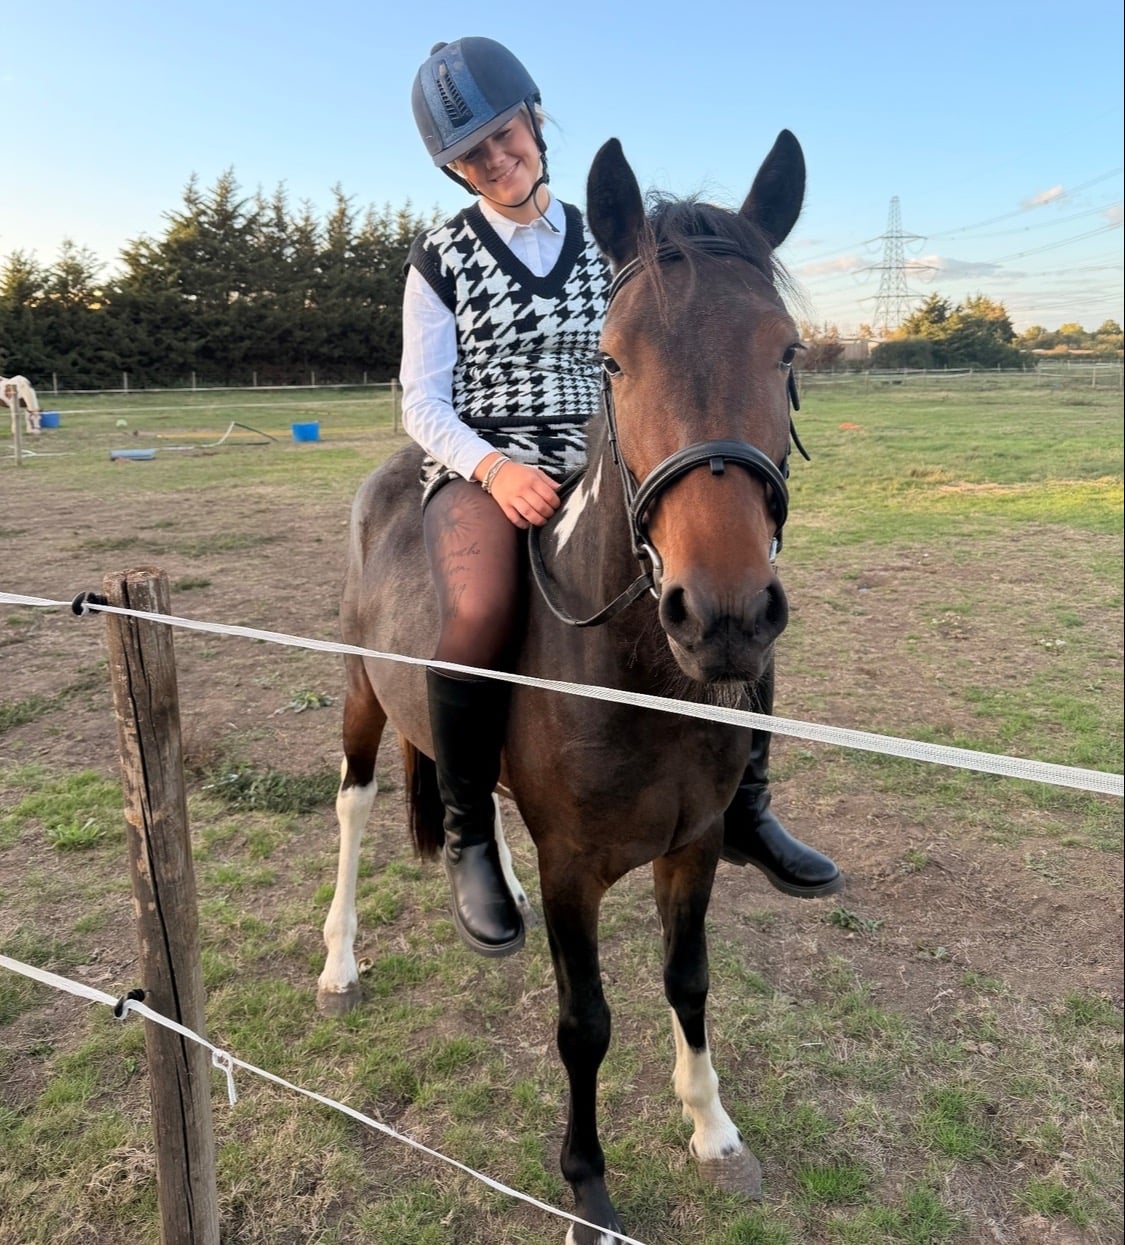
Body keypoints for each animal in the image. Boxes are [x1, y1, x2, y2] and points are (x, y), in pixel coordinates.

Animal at [318, 129, 808, 1243]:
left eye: (786, 351)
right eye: (613, 358)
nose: (722, 617)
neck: (639, 679)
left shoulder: (694, 844)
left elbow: (688, 980)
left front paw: (713, 1129)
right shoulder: (575, 870)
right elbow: (584, 1023)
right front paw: (586, 1186)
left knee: (471, 796)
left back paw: (484, 889)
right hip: (363, 697)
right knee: (355, 807)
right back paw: (339, 961)